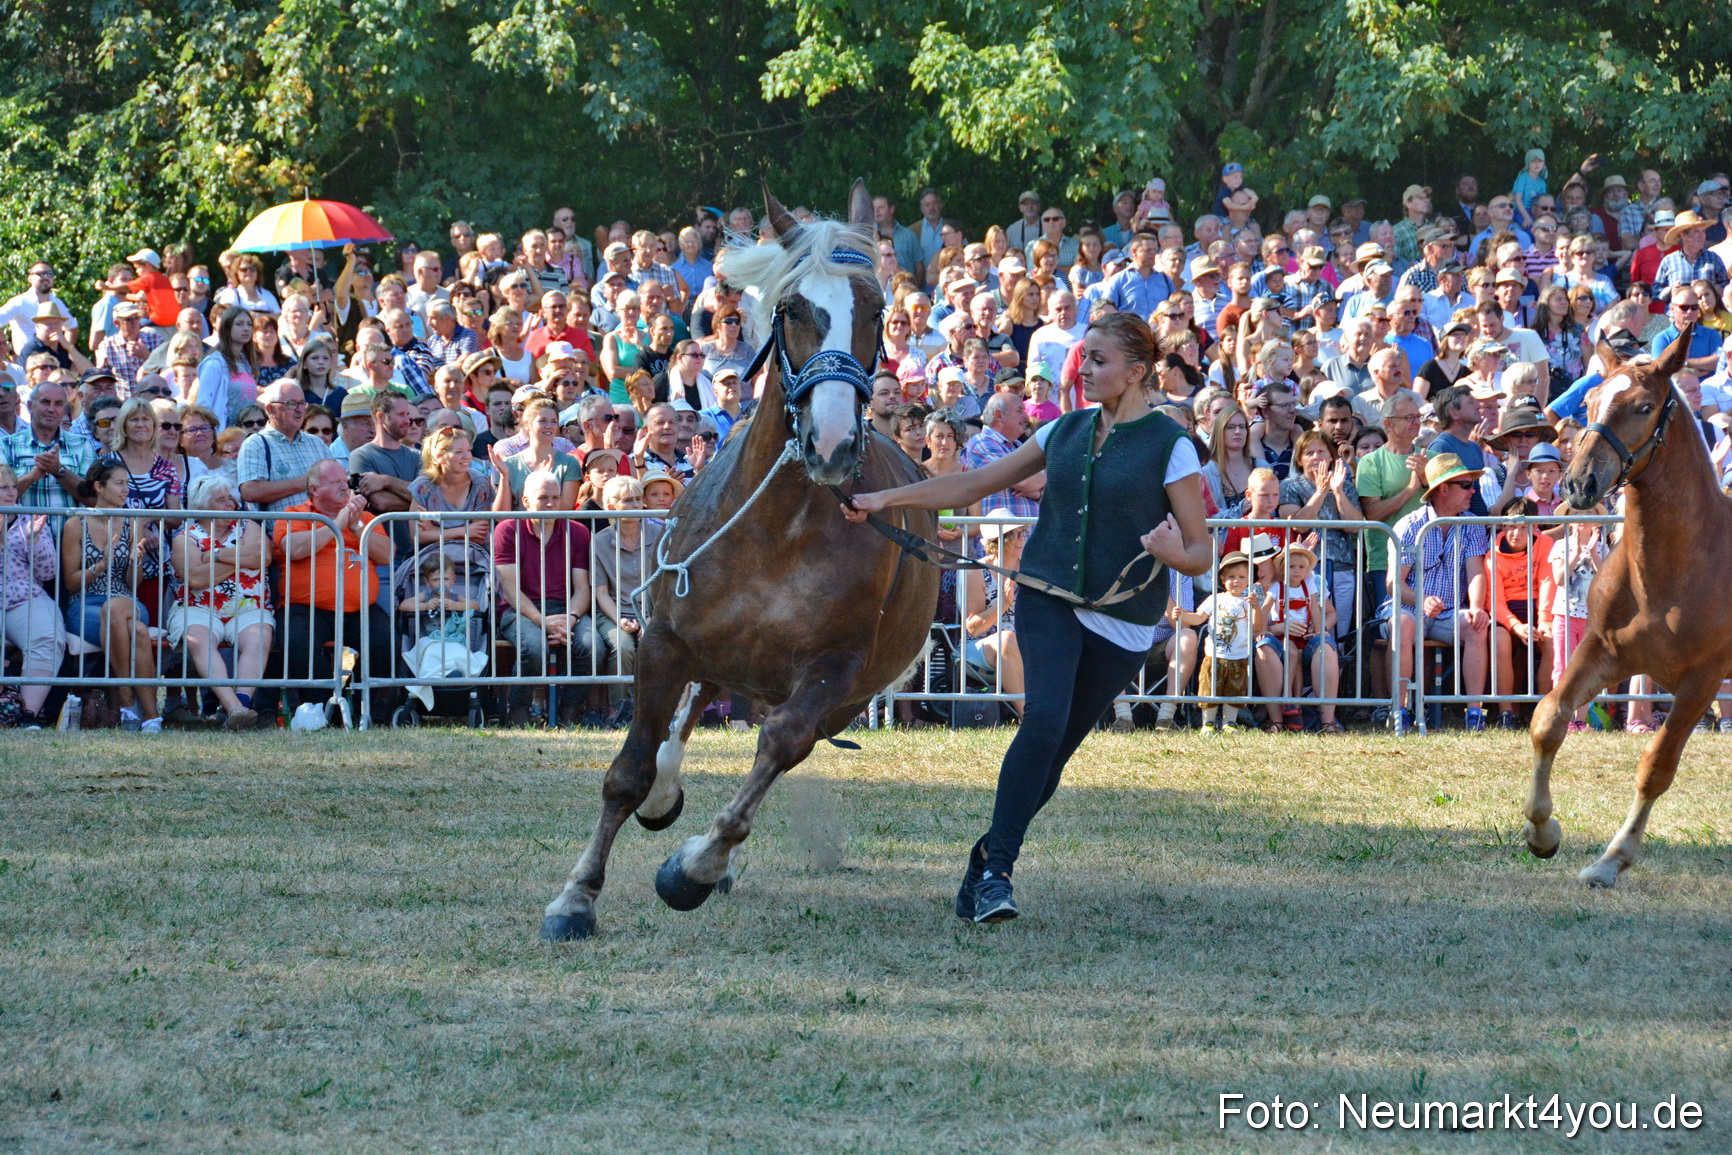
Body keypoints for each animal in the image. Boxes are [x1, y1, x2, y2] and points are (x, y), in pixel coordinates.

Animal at [539, 181, 940, 940]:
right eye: (792, 308)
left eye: (876, 309)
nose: (833, 443)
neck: (779, 528)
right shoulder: (664, 641)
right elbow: (629, 771)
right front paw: (576, 895)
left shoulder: (836, 668)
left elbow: (778, 748)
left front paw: (695, 867)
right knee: (689, 715)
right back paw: (665, 796)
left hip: (834, 697)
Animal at [1522, 323, 1732, 886]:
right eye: (1590, 400)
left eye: (1643, 407)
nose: (1578, 483)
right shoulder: (1603, 651)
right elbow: (1549, 719)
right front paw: (1542, 833)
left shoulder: (1701, 680)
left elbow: (1656, 766)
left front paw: (1611, 860)